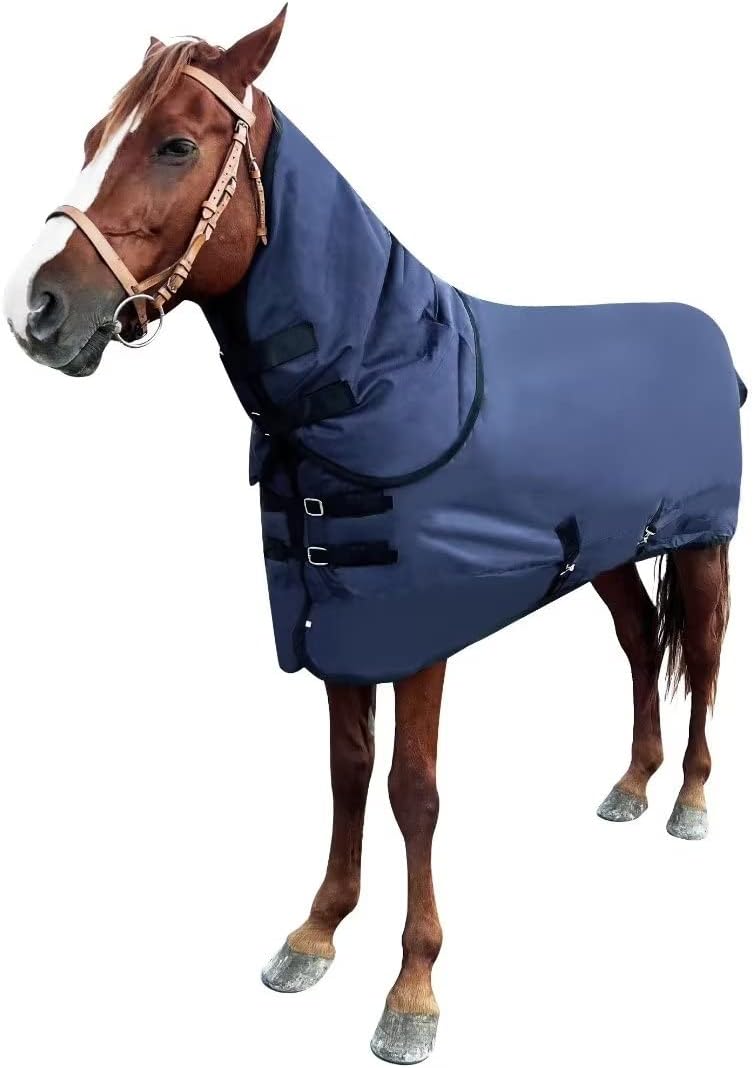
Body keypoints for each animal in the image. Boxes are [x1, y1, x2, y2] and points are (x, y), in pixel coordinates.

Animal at [3, 8, 745, 1064]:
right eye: (91, 138)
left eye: (176, 144)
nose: (37, 310)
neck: (380, 375)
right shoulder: (338, 625)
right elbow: (347, 771)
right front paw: (314, 933)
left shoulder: (416, 632)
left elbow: (412, 792)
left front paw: (413, 990)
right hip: (606, 554)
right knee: (643, 644)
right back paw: (631, 785)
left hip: (703, 546)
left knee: (706, 658)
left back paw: (687, 801)